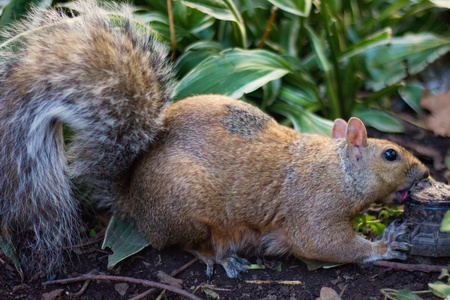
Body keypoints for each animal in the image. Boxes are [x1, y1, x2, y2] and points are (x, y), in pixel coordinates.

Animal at [0, 0, 428, 278]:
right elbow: (323, 243)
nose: (424, 174)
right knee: (184, 243)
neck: (339, 169)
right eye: (390, 154)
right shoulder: (315, 206)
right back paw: (220, 258)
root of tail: (133, 198)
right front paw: (384, 246)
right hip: (190, 209)